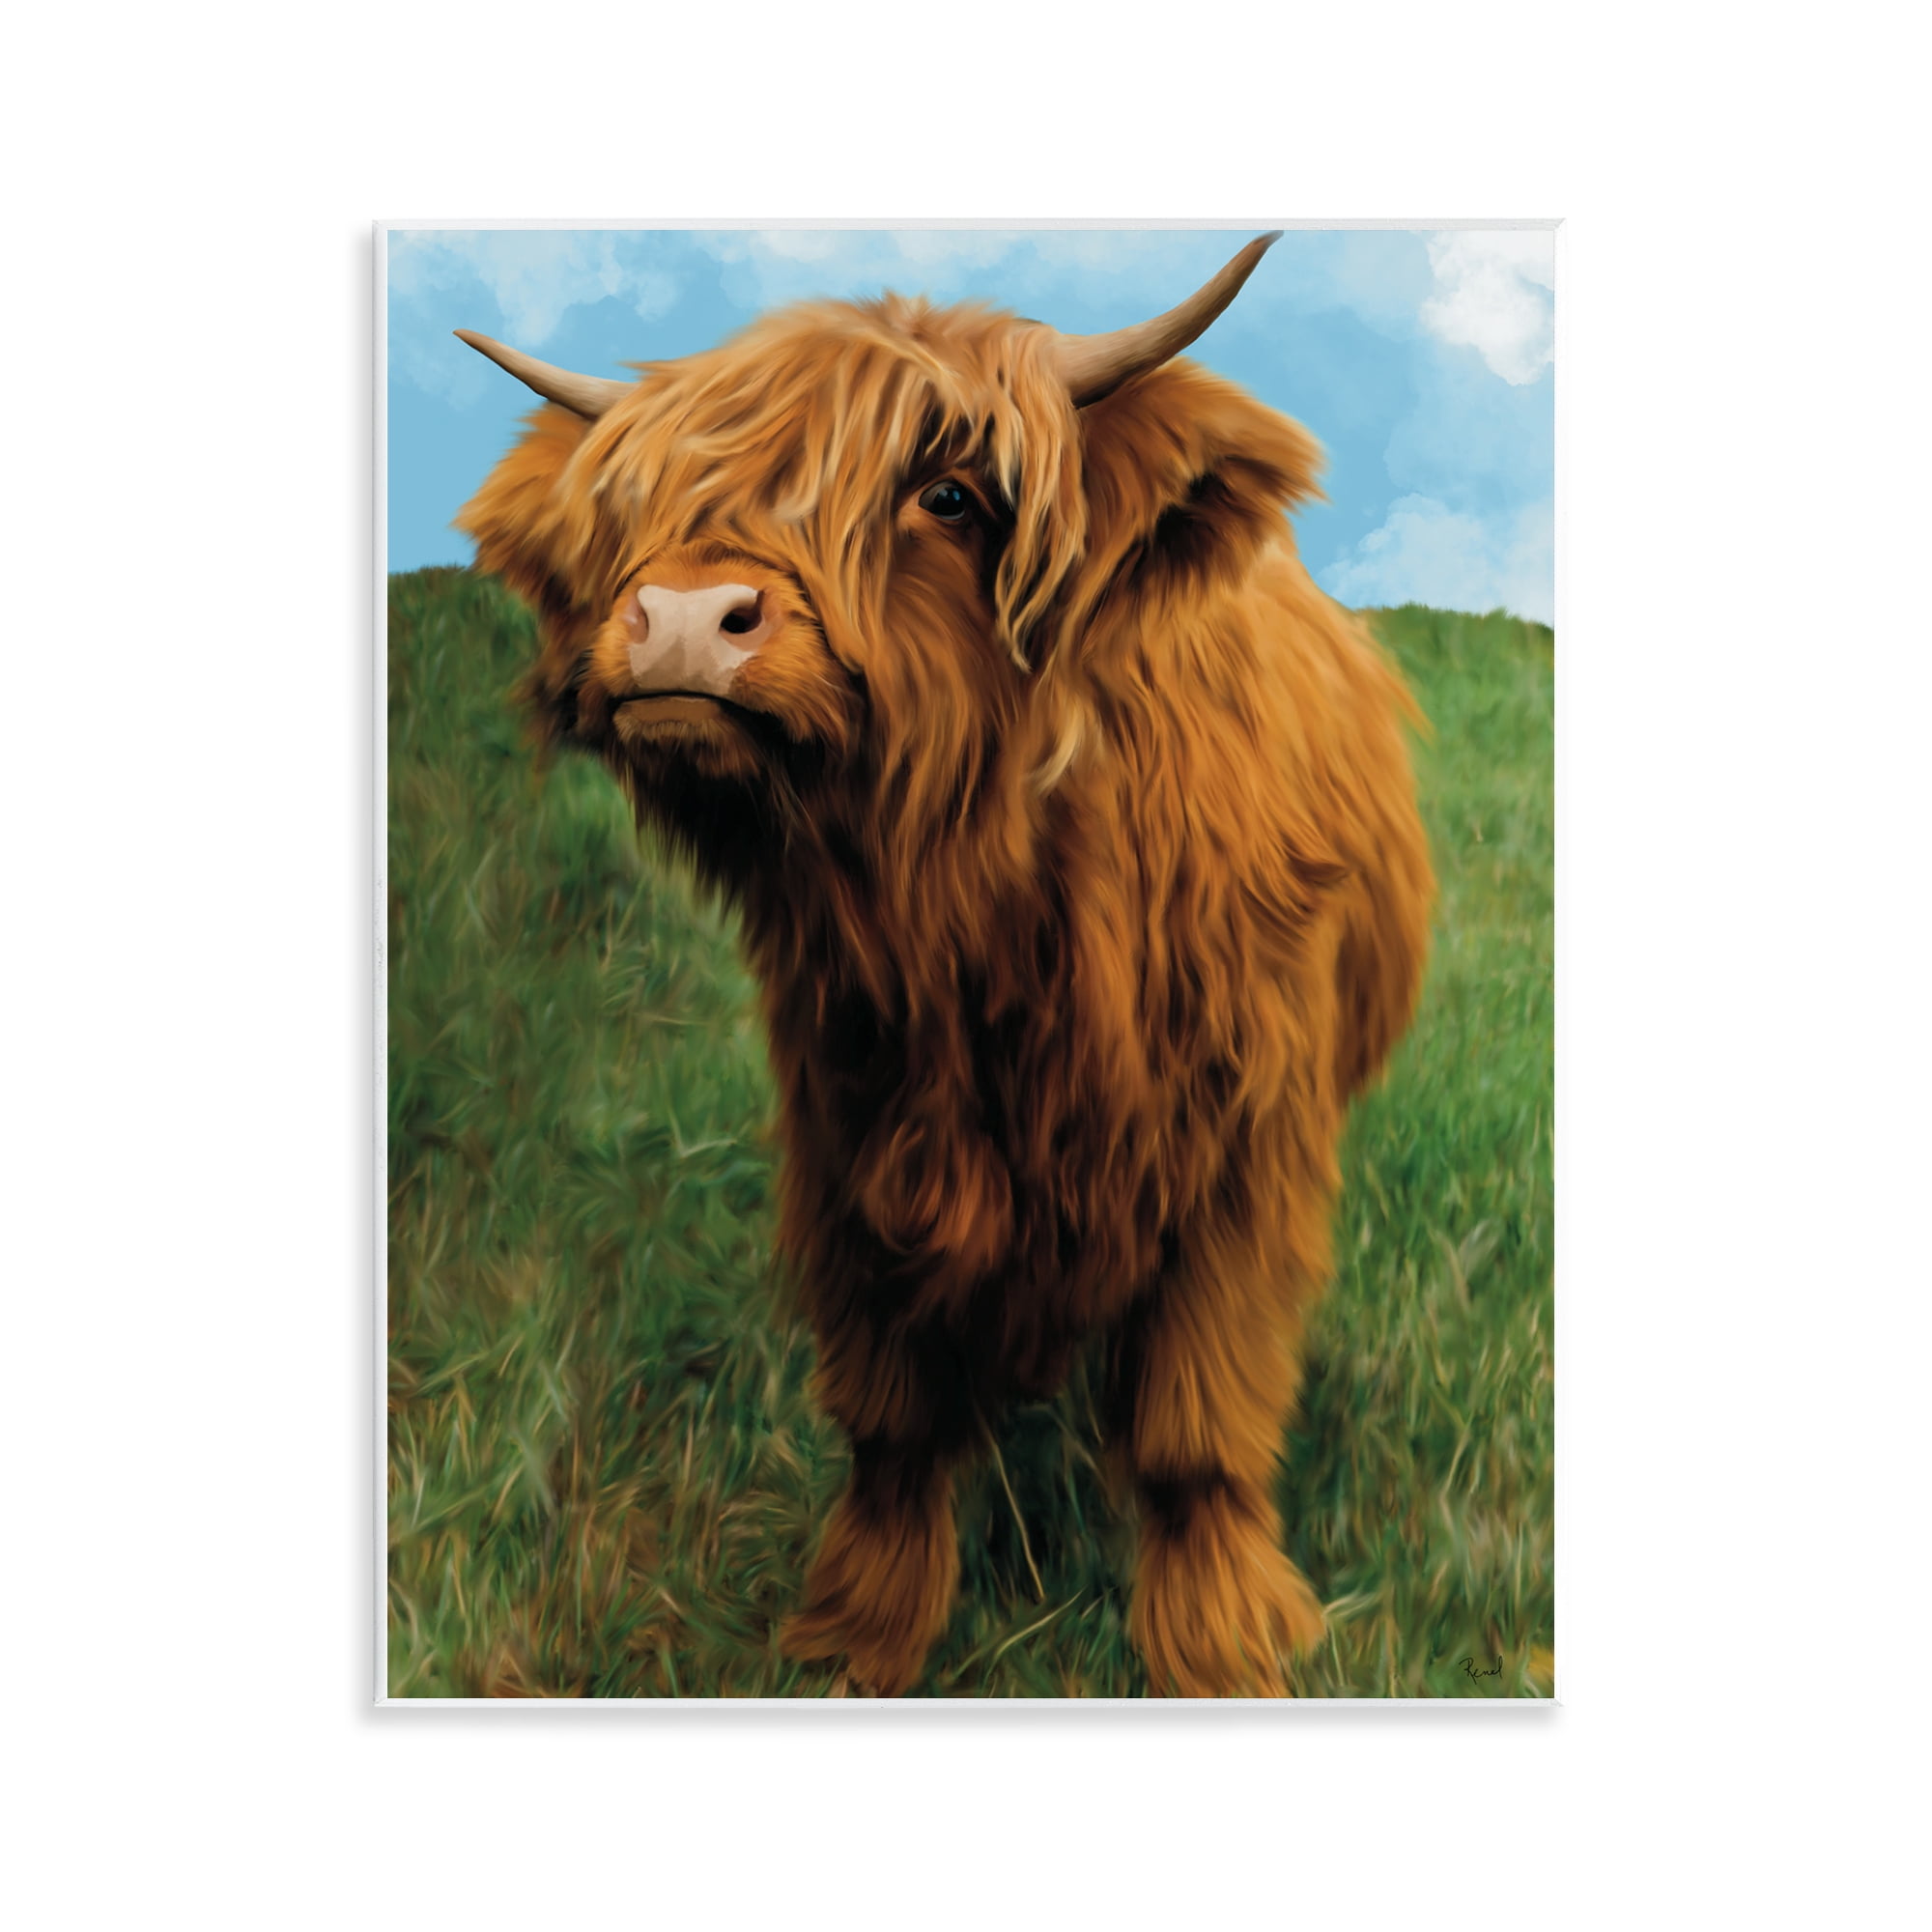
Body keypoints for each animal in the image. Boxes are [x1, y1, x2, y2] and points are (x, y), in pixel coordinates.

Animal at [454, 234, 1434, 1696]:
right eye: (639, 504)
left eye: (949, 493)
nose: (681, 619)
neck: (979, 922)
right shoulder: (849, 1125)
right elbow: (893, 1412)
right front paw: (857, 1632)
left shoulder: (1244, 1154)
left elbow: (1194, 1420)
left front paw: (1222, 1642)